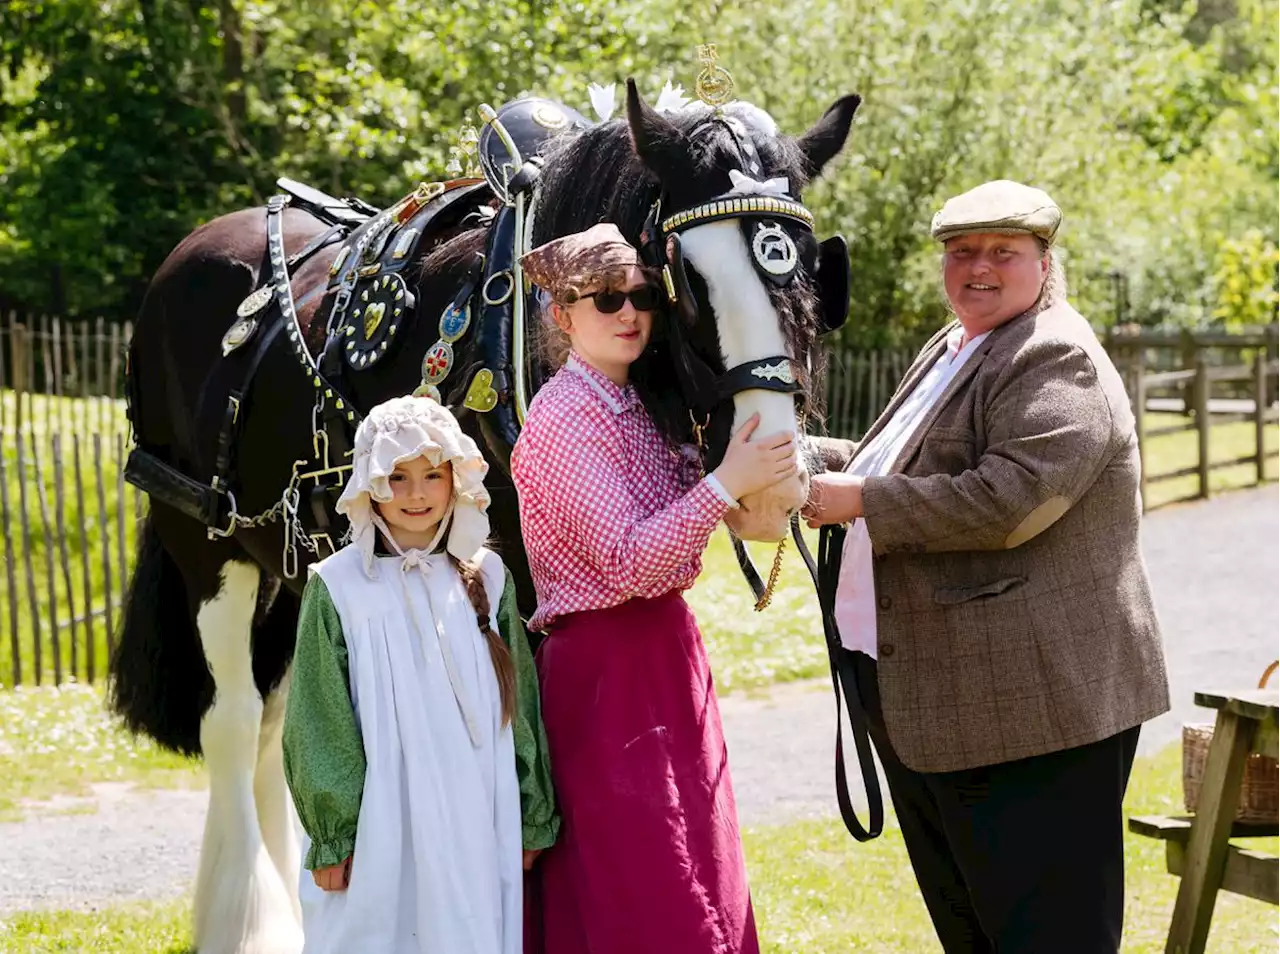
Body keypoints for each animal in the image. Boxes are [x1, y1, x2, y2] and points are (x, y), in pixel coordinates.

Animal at [110, 83, 860, 952]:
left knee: (275, 721)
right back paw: (248, 921)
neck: (516, 332)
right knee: (231, 721)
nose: (772, 474)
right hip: (205, 542)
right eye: (683, 274)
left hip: (293, 564)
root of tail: (192, 249)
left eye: (809, 268)